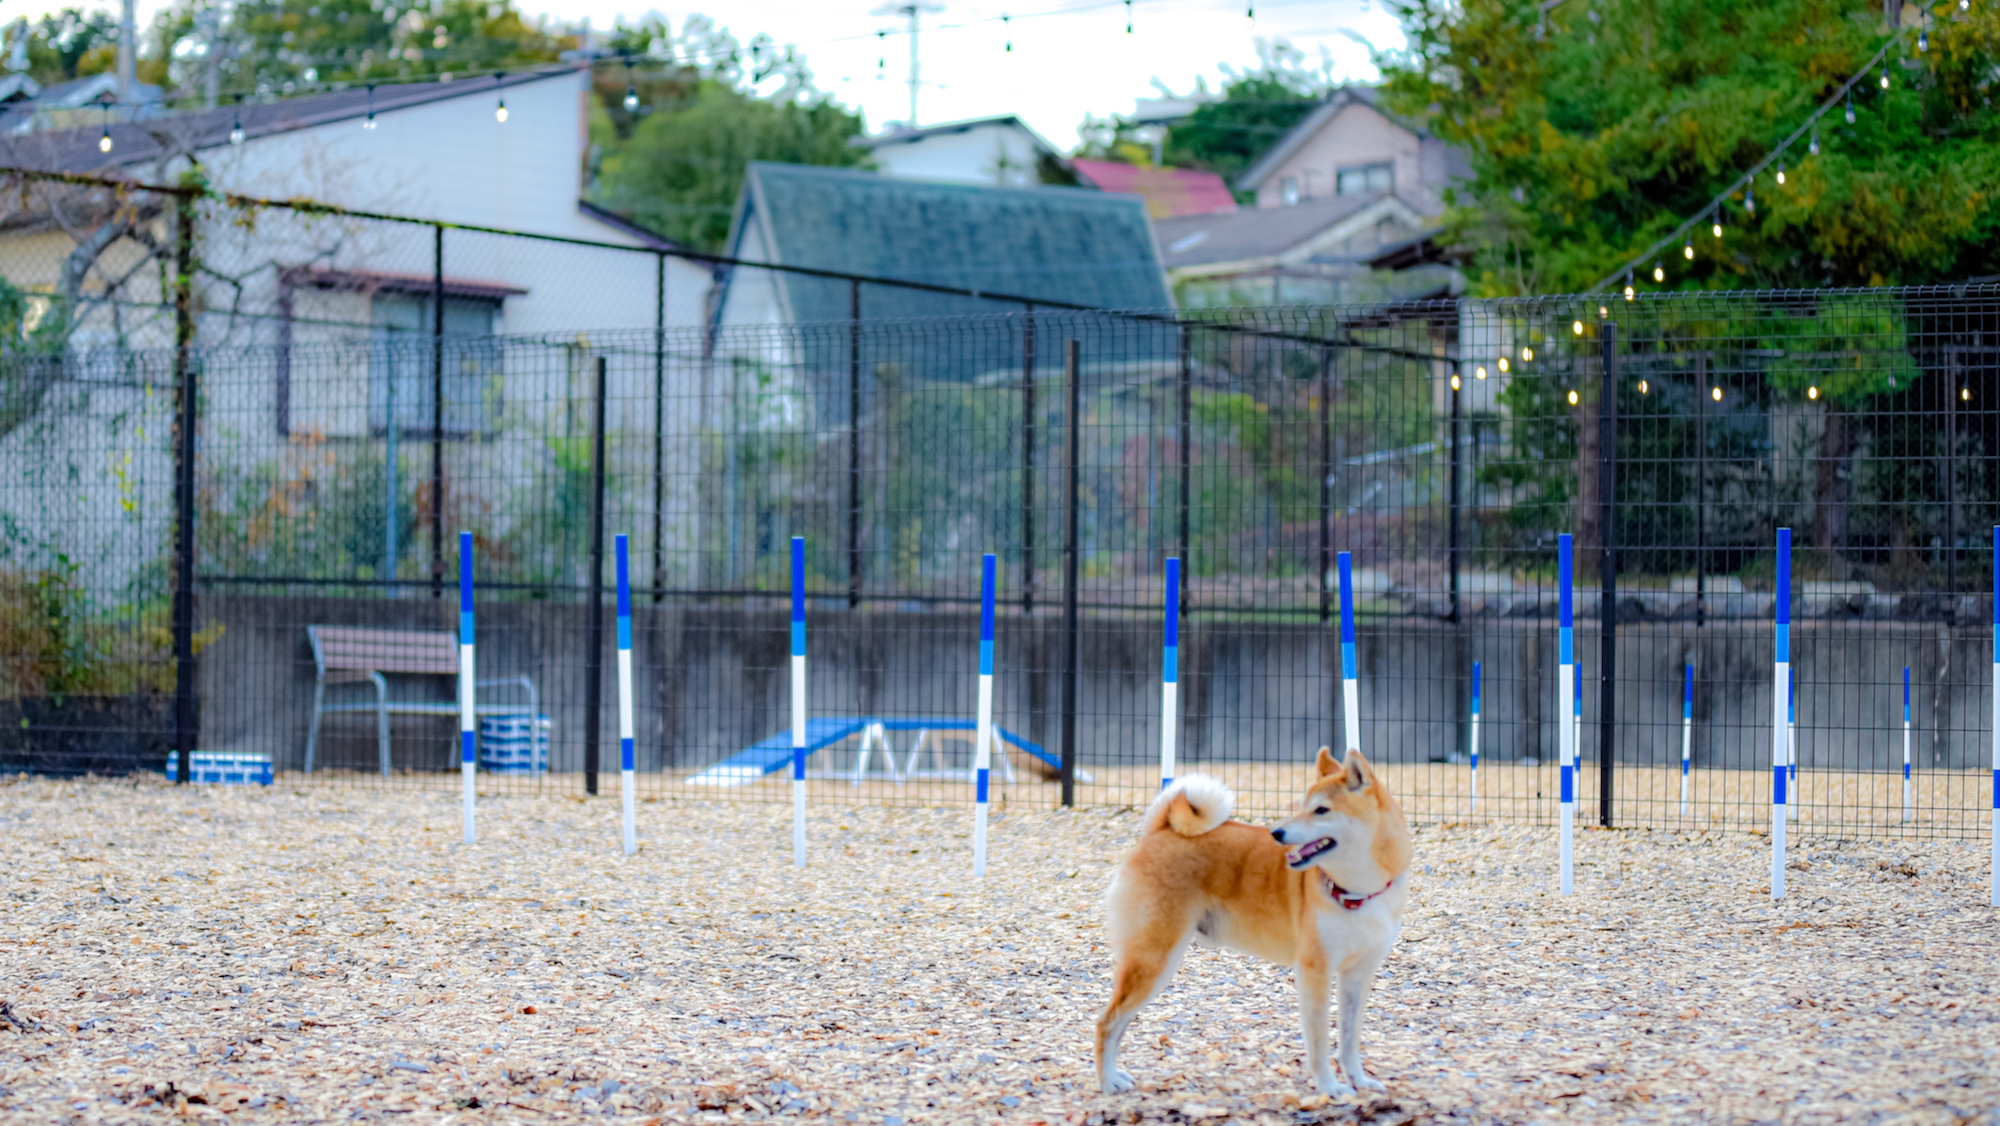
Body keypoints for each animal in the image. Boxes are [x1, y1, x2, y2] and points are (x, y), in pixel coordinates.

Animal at [1104, 752, 1416, 1096]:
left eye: (1321, 810)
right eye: (1302, 805)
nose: (1277, 834)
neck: (1356, 890)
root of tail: (1161, 831)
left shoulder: (1357, 975)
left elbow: (1349, 1040)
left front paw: (1358, 1081)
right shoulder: (1315, 971)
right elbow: (1319, 1040)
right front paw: (1329, 1087)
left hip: (1156, 966)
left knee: (1120, 1023)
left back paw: (1116, 1076)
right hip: (1153, 961)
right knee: (1107, 1023)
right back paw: (1106, 1080)